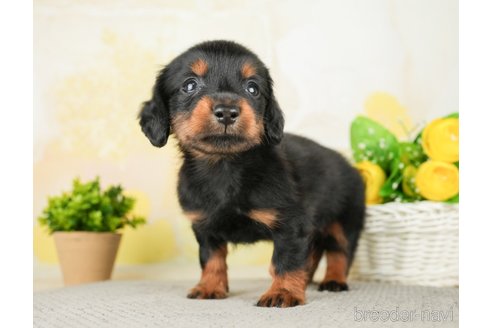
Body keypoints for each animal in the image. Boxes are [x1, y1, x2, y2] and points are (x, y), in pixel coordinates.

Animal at [138, 41, 366, 308]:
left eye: (253, 88)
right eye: (189, 85)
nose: (227, 112)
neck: (225, 166)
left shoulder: (291, 224)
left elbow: (286, 261)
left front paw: (283, 292)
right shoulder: (205, 227)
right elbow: (211, 259)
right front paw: (209, 287)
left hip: (345, 220)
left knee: (341, 252)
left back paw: (333, 281)